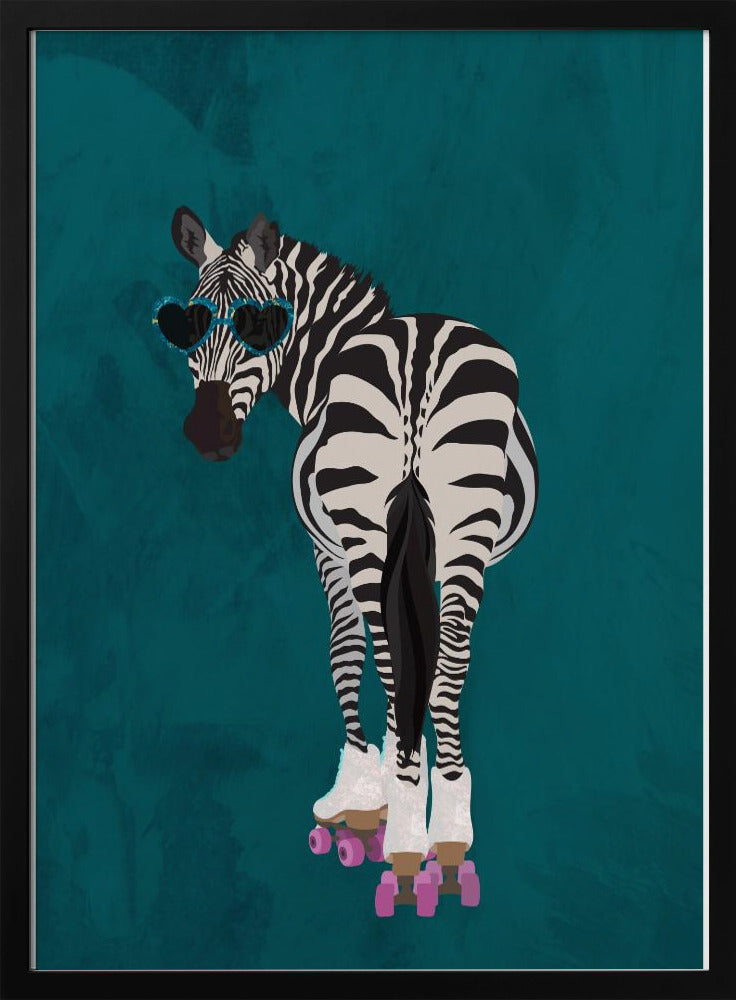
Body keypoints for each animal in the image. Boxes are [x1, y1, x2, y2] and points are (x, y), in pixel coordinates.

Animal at [152, 206, 538, 915]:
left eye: (258, 322)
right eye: (186, 322)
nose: (207, 433)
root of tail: (420, 351)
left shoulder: (328, 547)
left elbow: (346, 651)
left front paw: (359, 800)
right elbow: (418, 661)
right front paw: (395, 787)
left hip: (365, 525)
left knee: (385, 653)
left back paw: (406, 837)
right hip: (464, 522)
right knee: (447, 663)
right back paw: (444, 835)